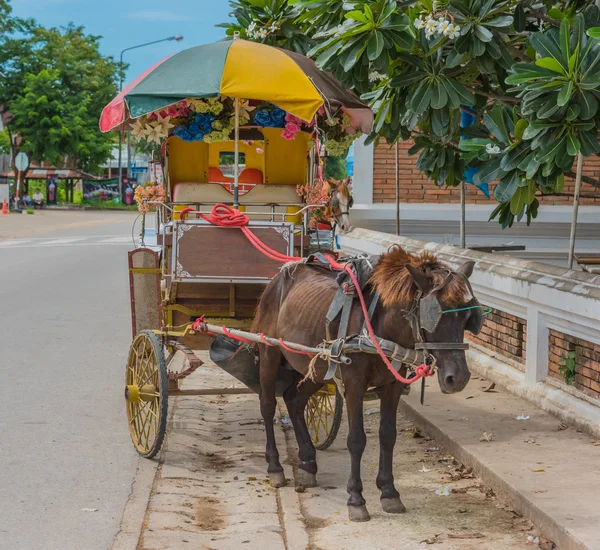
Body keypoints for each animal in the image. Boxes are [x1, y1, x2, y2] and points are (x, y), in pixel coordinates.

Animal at [253, 248, 482, 524]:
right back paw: (275, 466)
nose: (458, 378)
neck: (380, 326)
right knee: (267, 405)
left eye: (467, 317)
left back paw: (308, 463)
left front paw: (389, 492)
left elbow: (388, 435)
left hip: (316, 368)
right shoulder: (353, 384)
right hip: (269, 351)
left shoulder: (393, 384)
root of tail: (279, 277)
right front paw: (356, 499)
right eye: (435, 315)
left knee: (294, 400)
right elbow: (356, 439)